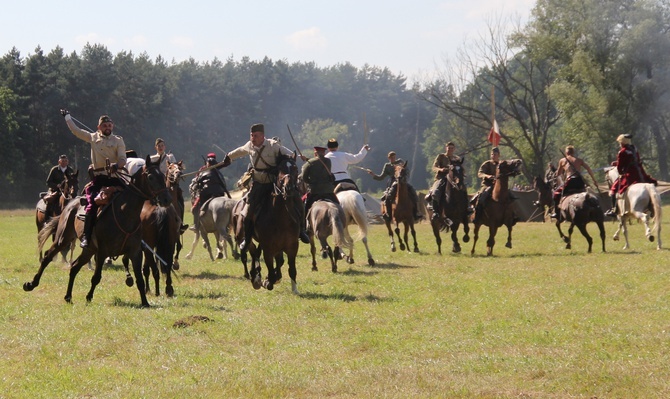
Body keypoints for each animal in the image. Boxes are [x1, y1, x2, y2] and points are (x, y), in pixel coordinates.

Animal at [24, 157, 173, 310]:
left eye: (163, 176)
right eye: (150, 177)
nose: (166, 199)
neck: (125, 213)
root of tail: (70, 204)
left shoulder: (135, 252)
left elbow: (139, 279)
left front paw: (145, 302)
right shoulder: (102, 251)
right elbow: (96, 277)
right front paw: (89, 297)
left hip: (89, 248)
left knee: (75, 266)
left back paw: (68, 296)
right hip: (63, 238)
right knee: (48, 256)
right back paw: (31, 284)